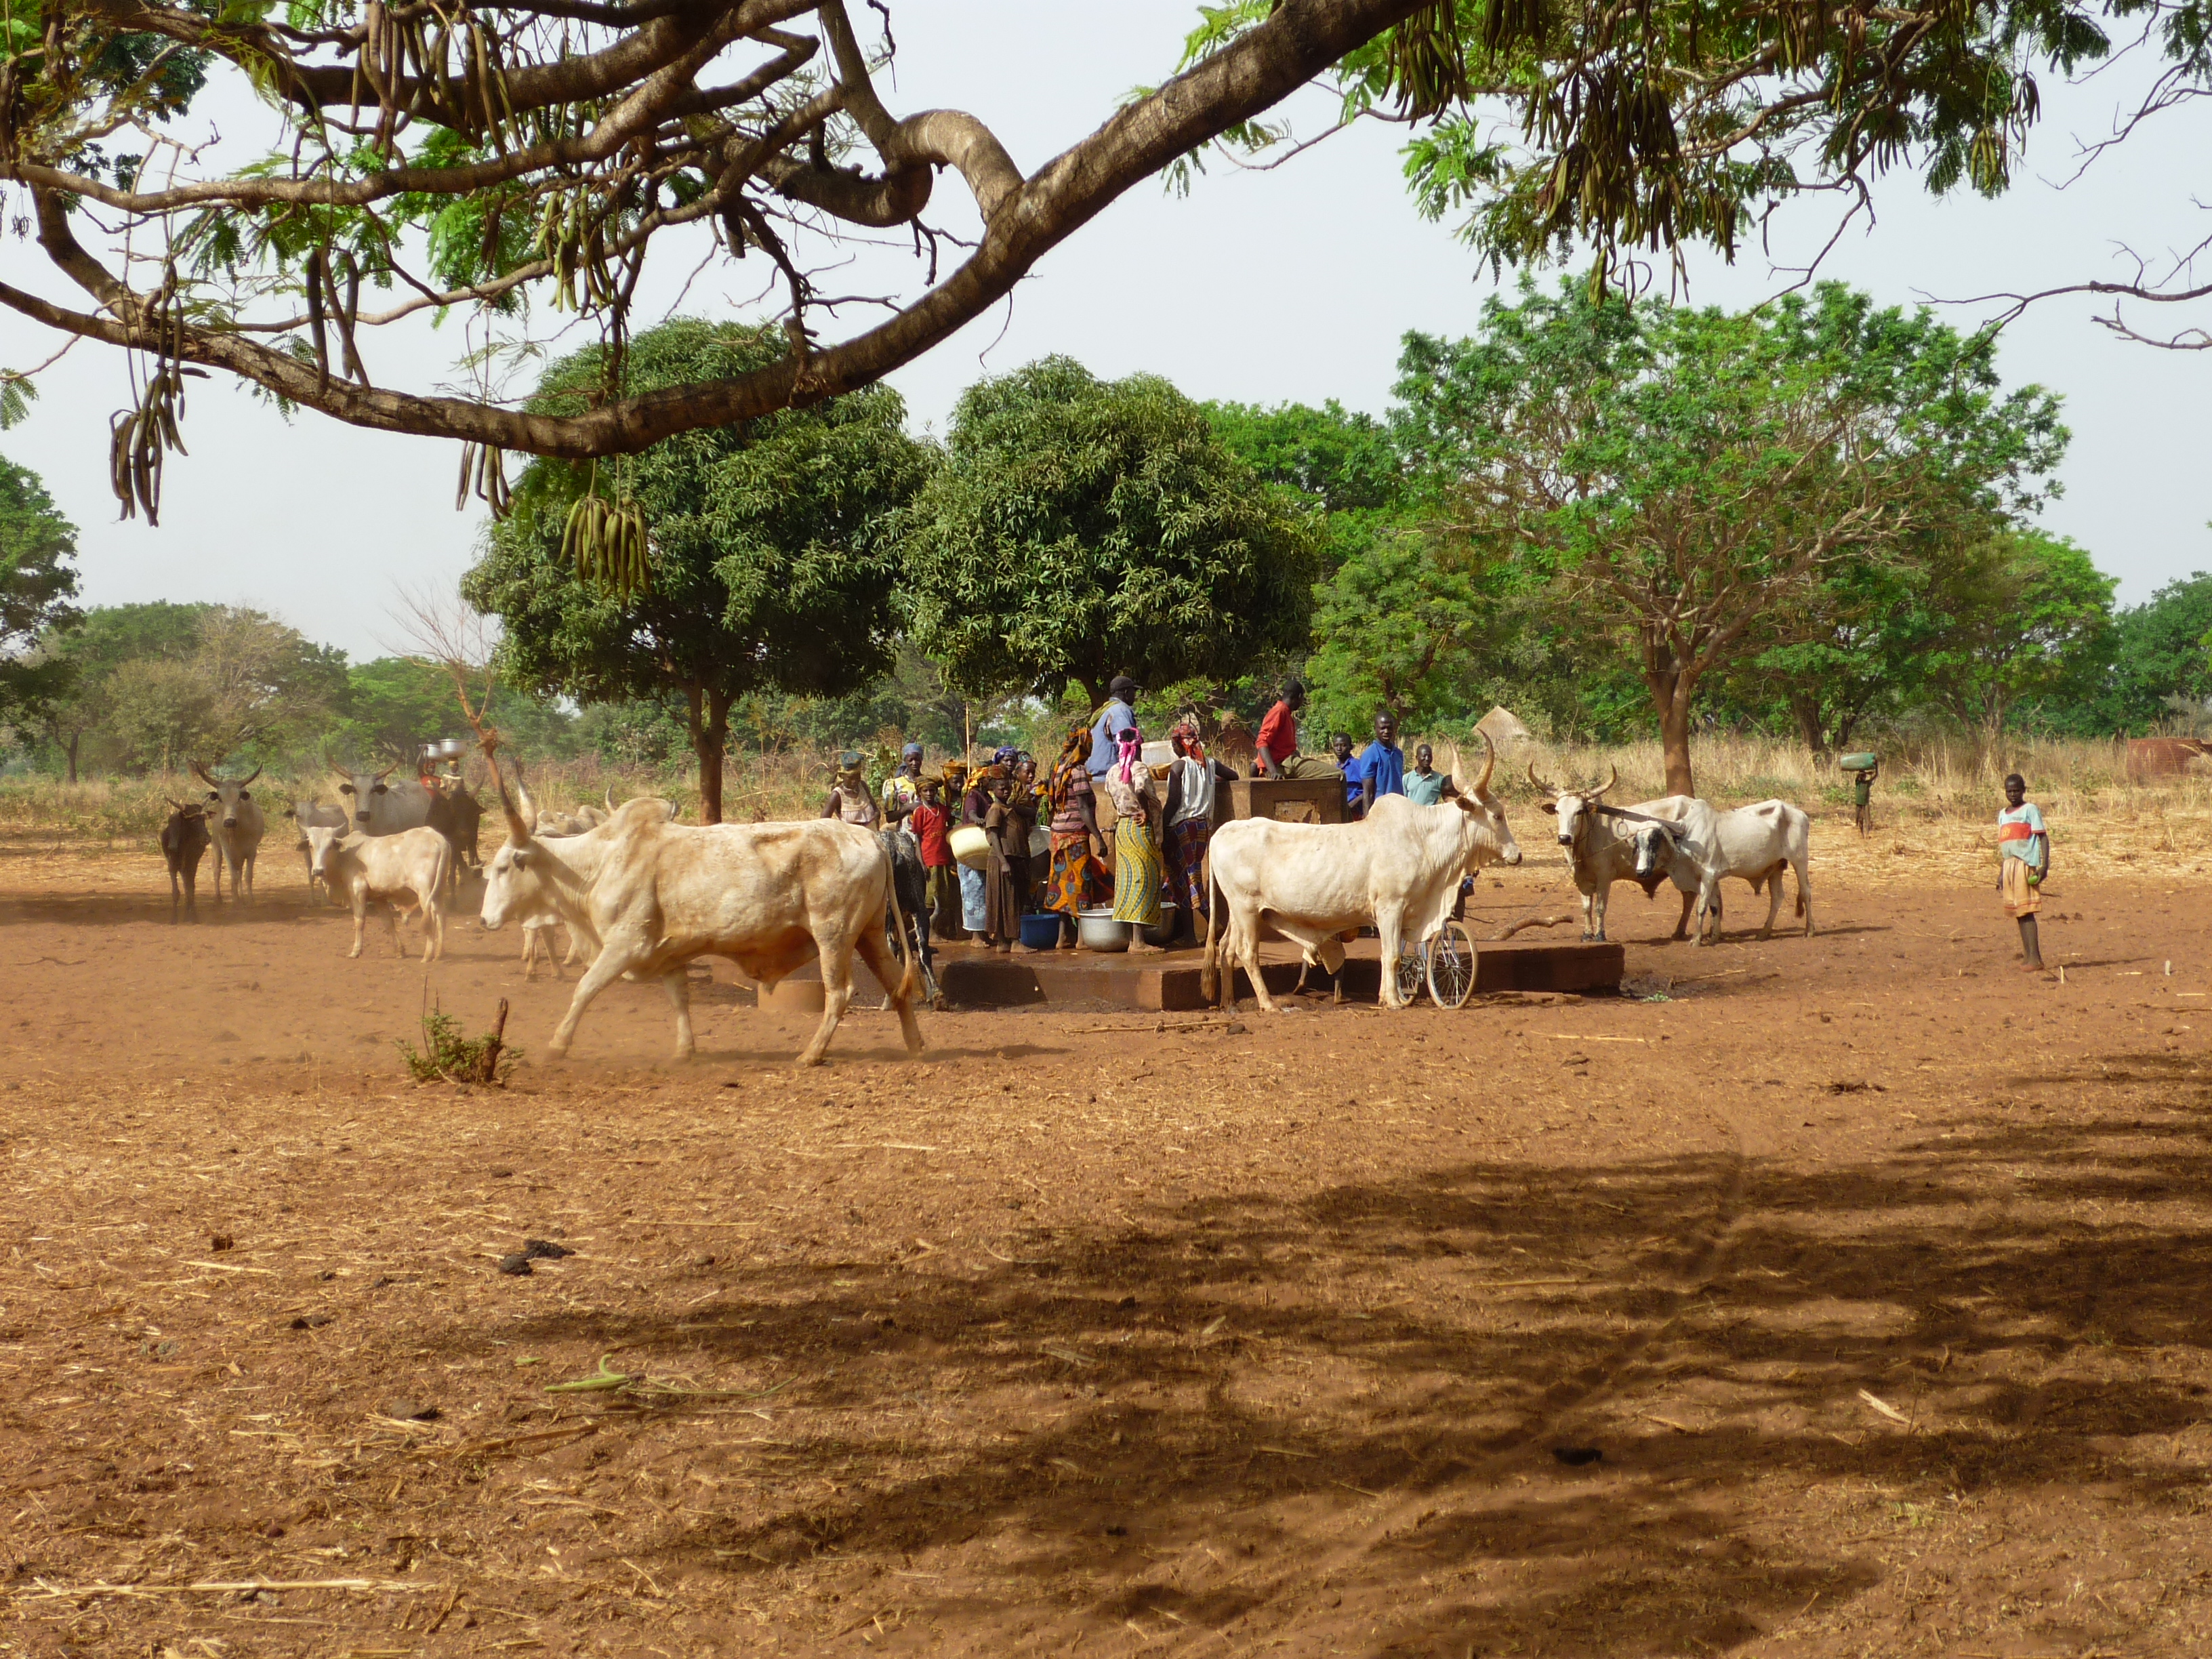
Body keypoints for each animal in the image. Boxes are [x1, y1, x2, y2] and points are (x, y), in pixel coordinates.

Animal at [160, 800, 211, 924]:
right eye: (192, 820)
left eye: (203, 819)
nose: (207, 838)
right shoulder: (172, 865)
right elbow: (176, 892)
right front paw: (174, 919)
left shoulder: (192, 863)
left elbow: (190, 889)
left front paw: (194, 918)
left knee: (189, 886)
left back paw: (188, 916)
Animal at [307, 827, 453, 968]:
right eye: (311, 845)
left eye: (330, 845)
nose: (318, 870)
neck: (343, 856)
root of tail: (437, 837)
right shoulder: (379, 898)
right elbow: (388, 923)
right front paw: (400, 951)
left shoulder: (358, 890)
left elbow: (359, 921)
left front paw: (355, 951)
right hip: (439, 890)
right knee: (441, 916)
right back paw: (439, 954)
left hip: (424, 891)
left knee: (432, 917)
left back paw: (427, 956)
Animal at [480, 765, 920, 1066]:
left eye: (503, 868)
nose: (485, 921)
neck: (601, 863)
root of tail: (869, 838)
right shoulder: (669, 953)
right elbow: (680, 999)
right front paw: (684, 1050)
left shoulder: (625, 945)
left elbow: (585, 989)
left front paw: (557, 1045)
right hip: (869, 933)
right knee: (896, 982)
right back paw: (916, 1043)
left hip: (834, 934)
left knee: (839, 993)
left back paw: (810, 1054)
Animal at [1203, 739, 1530, 1012]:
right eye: (1497, 815)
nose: (1517, 854)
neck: (1424, 838)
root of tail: (1221, 832)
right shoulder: (1390, 908)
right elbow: (1392, 956)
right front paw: (1394, 1001)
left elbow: (1392, 955)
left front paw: (1388, 997)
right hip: (1247, 909)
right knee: (1247, 952)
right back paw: (1268, 1004)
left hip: (1240, 911)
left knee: (1227, 948)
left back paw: (1229, 1002)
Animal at [1637, 796, 1822, 942]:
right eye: (1638, 842)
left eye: (1654, 840)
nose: (1641, 872)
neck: (1687, 834)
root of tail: (1801, 814)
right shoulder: (1709, 879)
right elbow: (1714, 906)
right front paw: (1713, 937)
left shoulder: (1708, 874)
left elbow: (1701, 907)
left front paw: (1696, 939)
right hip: (1776, 866)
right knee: (1777, 897)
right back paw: (1764, 933)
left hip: (1799, 860)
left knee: (1806, 891)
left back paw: (1809, 930)